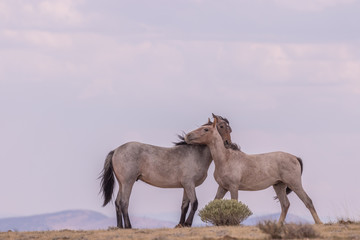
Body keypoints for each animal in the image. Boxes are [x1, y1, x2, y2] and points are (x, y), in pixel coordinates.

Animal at [98, 114, 233, 229]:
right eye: (222, 126)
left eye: (229, 129)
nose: (228, 143)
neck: (195, 154)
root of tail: (116, 150)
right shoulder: (189, 184)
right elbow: (194, 203)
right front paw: (188, 223)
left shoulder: (186, 186)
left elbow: (184, 205)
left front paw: (180, 224)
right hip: (128, 182)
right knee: (124, 203)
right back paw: (128, 226)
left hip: (122, 183)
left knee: (117, 203)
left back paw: (119, 227)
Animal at [184, 118, 322, 225]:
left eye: (206, 129)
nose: (187, 136)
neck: (226, 159)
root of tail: (295, 157)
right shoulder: (222, 187)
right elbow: (215, 203)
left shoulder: (233, 187)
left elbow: (234, 203)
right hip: (279, 185)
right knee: (285, 205)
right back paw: (278, 225)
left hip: (295, 184)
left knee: (308, 201)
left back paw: (319, 223)